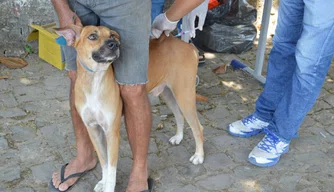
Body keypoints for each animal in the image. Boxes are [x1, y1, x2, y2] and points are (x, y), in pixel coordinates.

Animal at [56, 25, 205, 192]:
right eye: (92, 36)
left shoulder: (112, 133)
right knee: (179, 115)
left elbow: (112, 169)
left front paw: (108, 186)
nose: (114, 44)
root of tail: (188, 46)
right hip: (168, 93)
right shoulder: (93, 130)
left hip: (184, 96)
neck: (94, 82)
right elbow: (104, 162)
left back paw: (199, 156)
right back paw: (178, 137)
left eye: (112, 35)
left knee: (198, 127)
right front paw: (103, 181)